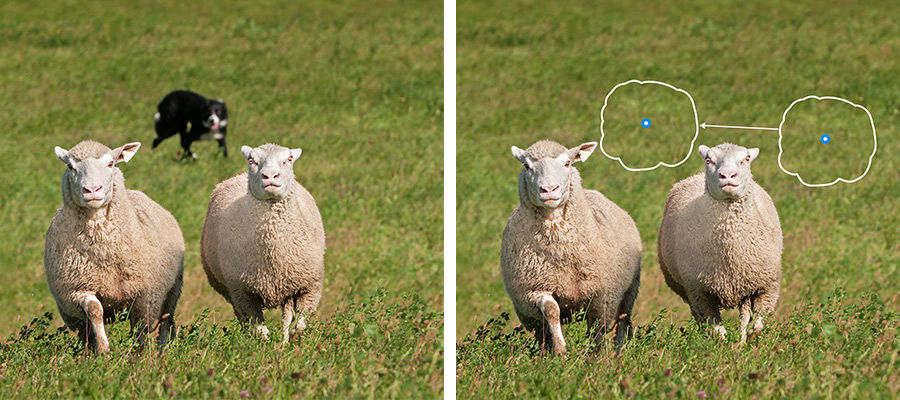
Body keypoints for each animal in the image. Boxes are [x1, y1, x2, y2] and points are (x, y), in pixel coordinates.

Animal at [44, 140, 184, 353]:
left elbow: (140, 331)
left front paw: (138, 356)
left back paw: (161, 353)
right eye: (70, 166)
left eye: (110, 163)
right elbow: (94, 311)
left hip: (173, 291)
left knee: (166, 322)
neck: (105, 250)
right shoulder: (78, 289)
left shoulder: (145, 295)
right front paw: (103, 350)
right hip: (70, 314)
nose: (92, 190)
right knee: (84, 334)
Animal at [201, 143, 325, 343]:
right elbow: (260, 331)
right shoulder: (243, 293)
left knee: (286, 317)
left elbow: (299, 326)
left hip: (287, 288)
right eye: (251, 160)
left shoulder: (309, 286)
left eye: (289, 158)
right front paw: (263, 347)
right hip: (232, 292)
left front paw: (292, 342)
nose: (270, 176)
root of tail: (238, 176)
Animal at [500, 140, 642, 354]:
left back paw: (619, 353)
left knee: (623, 322)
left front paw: (595, 357)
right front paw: (560, 351)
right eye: (526, 166)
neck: (562, 250)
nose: (549, 190)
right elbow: (551, 311)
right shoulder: (535, 289)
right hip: (527, 314)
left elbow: (597, 332)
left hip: (629, 291)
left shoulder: (602, 295)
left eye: (567, 163)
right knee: (541, 334)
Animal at [658, 142, 783, 344]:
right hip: (688, 291)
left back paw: (741, 342)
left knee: (744, 317)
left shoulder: (767, 286)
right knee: (701, 319)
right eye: (709, 159)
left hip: (744, 288)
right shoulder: (700, 292)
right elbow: (717, 331)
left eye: (746, 158)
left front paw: (749, 341)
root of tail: (694, 176)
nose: (728, 176)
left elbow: (757, 325)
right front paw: (720, 347)